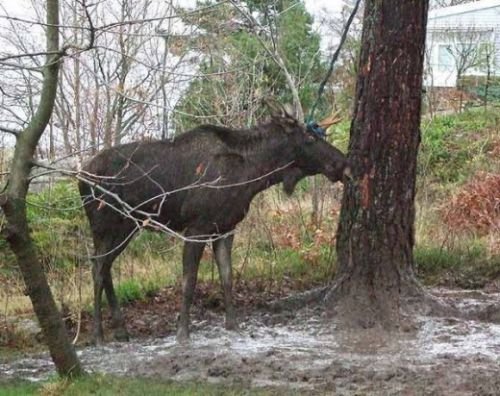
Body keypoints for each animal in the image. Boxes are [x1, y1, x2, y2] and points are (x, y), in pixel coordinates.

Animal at [80, 105, 350, 344]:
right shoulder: (196, 228)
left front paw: (233, 324)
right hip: (109, 225)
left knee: (105, 268)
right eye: (310, 137)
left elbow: (227, 276)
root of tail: (80, 178)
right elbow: (189, 281)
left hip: (126, 227)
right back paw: (98, 335)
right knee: (97, 267)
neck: (252, 175)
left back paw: (120, 330)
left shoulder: (226, 228)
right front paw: (183, 333)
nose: (342, 162)